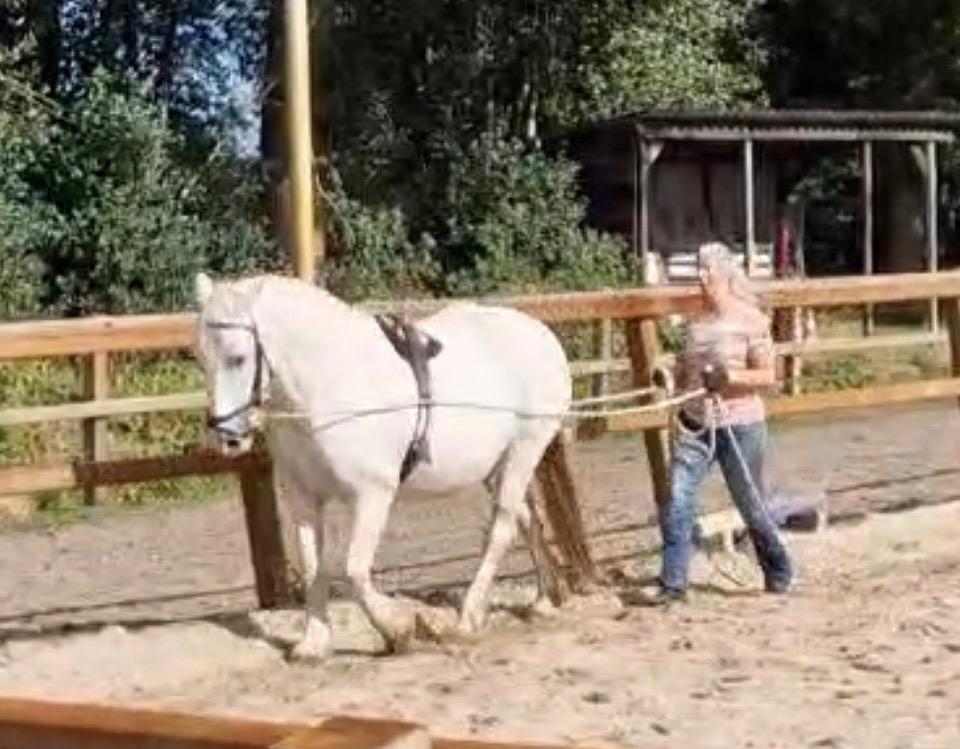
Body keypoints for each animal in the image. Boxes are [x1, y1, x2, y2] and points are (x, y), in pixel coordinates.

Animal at [192, 272, 572, 660]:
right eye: (200, 358)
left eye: (238, 358)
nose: (229, 437)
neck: (328, 389)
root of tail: (542, 334)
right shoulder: (303, 497)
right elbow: (313, 567)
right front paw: (313, 644)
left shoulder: (372, 494)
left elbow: (354, 569)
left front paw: (399, 629)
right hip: (497, 467)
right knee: (527, 519)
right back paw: (544, 599)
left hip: (524, 450)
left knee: (502, 528)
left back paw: (468, 618)